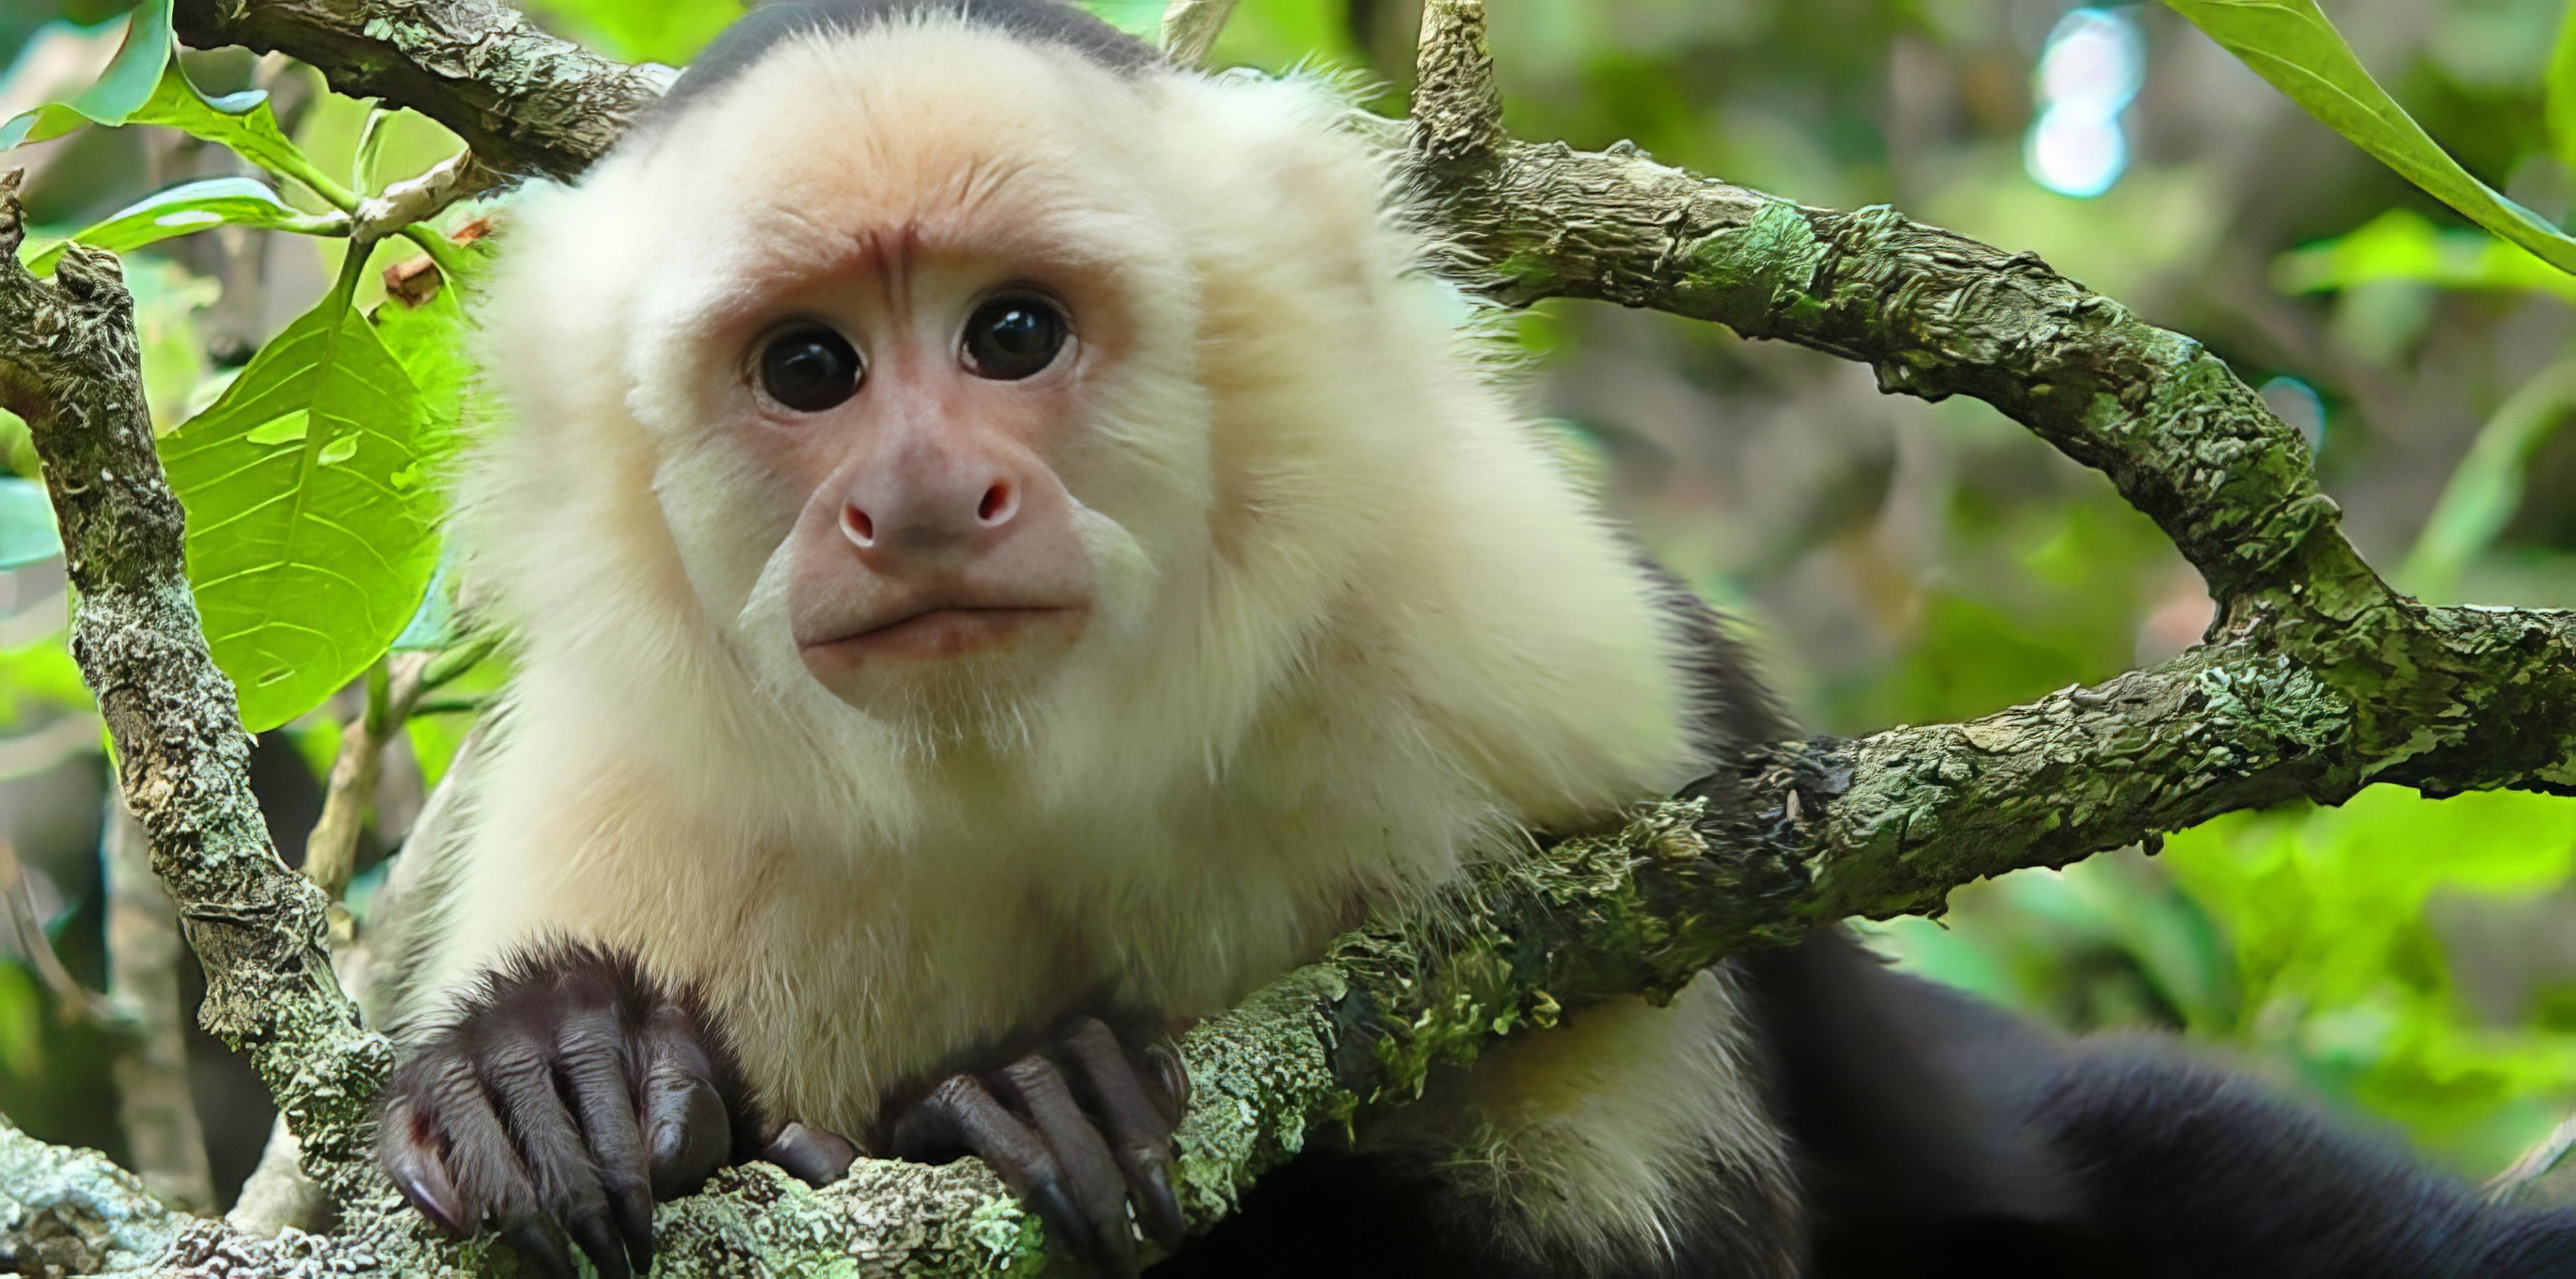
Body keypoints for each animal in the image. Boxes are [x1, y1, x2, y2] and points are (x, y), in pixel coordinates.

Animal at [363, 4, 2576, 1278]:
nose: (914, 500)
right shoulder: (639, 806)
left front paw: (1020, 1101)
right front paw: (566, 1073)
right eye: (810, 369)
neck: (1038, 775)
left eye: (1012, 332)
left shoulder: (1537, 679)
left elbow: (1677, 1246)